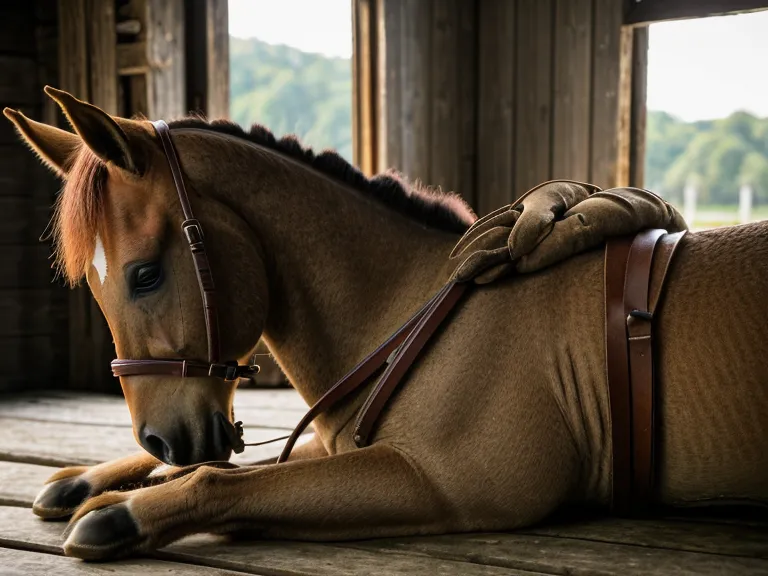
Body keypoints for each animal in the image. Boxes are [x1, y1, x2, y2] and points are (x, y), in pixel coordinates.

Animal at [4, 87, 767, 561]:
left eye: (145, 275)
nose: (161, 436)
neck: (410, 303)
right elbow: (231, 466)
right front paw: (91, 480)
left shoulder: (438, 483)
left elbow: (226, 482)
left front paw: (120, 511)